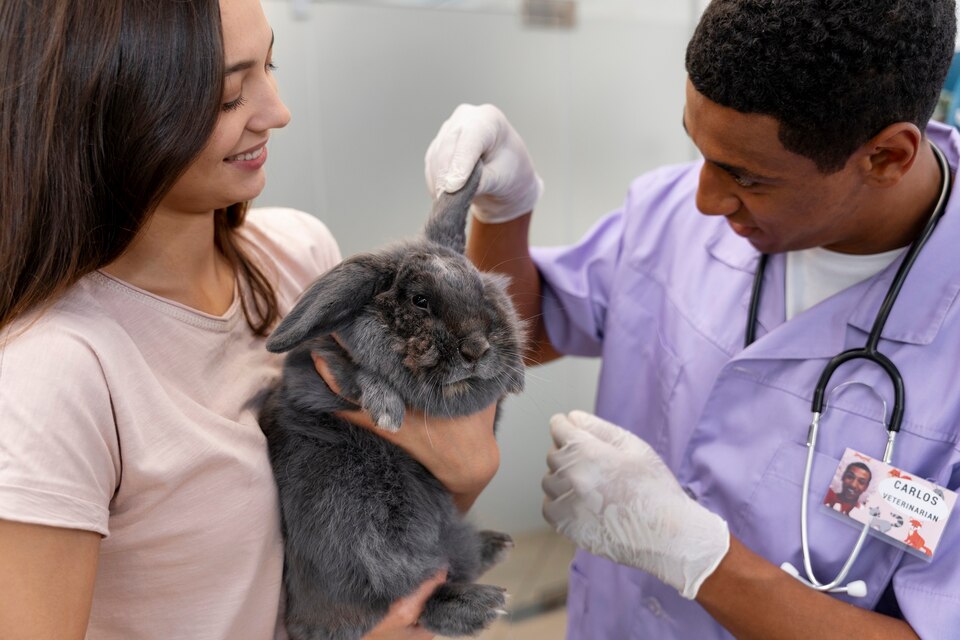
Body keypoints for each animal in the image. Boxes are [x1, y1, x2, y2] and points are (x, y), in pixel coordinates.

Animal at [256, 165, 524, 640]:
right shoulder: (317, 367)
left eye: (482, 289)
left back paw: (495, 546)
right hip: (368, 533)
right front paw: (386, 409)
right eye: (420, 300)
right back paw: (481, 603)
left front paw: (515, 377)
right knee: (407, 591)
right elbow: (350, 371)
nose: (476, 348)